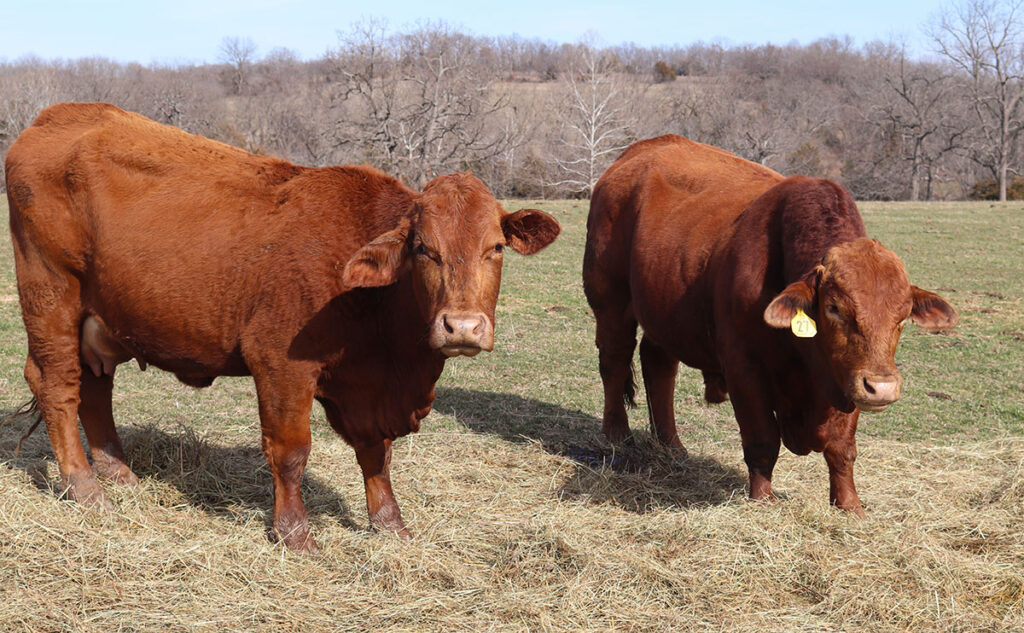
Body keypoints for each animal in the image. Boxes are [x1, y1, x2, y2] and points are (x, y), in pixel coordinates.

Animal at [4, 103, 561, 549]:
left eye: (496, 247)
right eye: (423, 248)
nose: (462, 327)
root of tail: (56, 116)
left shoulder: (365, 387)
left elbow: (376, 455)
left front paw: (390, 524)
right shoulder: (280, 363)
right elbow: (291, 452)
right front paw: (295, 534)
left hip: (103, 319)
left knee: (95, 389)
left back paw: (120, 476)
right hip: (50, 297)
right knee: (58, 385)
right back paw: (85, 488)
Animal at [589, 134, 954, 512]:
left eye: (902, 316)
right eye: (834, 307)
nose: (881, 387)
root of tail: (640, 150)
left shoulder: (846, 379)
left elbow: (842, 448)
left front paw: (850, 505)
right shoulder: (745, 368)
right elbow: (762, 440)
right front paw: (762, 499)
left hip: (664, 314)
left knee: (658, 365)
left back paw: (672, 445)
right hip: (610, 300)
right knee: (614, 360)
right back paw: (616, 433)